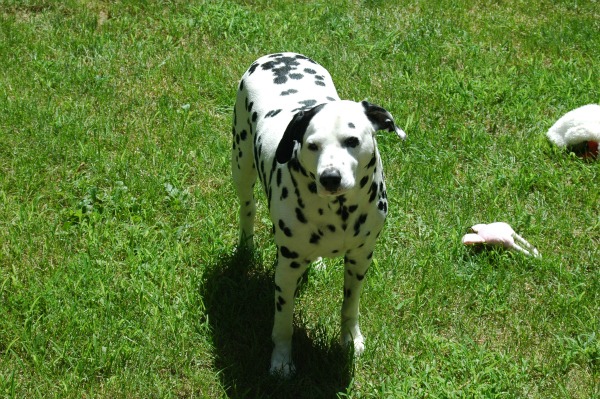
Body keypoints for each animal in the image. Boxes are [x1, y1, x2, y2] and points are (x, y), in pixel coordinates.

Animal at [232, 54, 406, 378]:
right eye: (312, 145)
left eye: (352, 140)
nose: (330, 178)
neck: (339, 211)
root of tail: (277, 55)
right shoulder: (286, 271)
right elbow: (283, 324)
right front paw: (282, 360)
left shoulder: (361, 258)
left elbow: (350, 306)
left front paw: (351, 339)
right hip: (241, 165)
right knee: (247, 209)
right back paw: (246, 246)